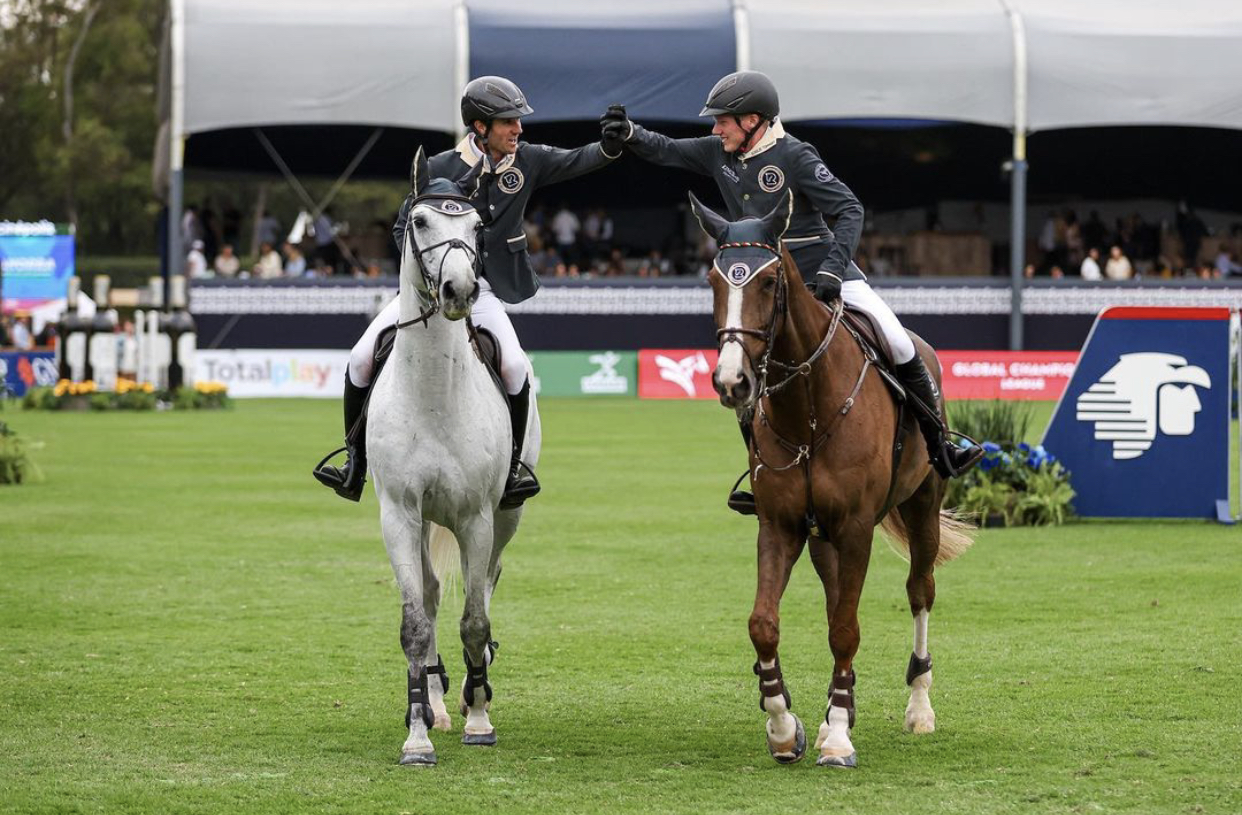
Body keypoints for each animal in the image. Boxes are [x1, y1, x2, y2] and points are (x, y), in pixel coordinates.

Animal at [695, 192, 973, 770]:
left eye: (769, 283)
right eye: (713, 282)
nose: (733, 382)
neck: (808, 409)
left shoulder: (856, 527)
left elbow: (846, 628)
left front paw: (840, 736)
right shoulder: (779, 525)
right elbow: (764, 624)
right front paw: (785, 727)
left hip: (921, 505)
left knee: (919, 591)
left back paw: (918, 707)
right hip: (822, 537)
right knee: (834, 597)